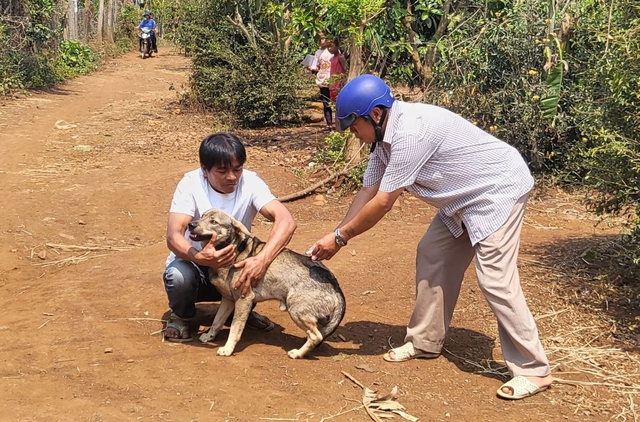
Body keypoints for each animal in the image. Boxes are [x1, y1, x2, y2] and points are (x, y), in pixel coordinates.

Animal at [186, 209, 344, 358]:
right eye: (202, 216)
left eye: (213, 221)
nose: (191, 225)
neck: (234, 250)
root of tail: (335, 285)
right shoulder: (228, 300)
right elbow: (216, 322)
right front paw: (209, 336)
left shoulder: (243, 300)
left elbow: (235, 329)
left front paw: (228, 349)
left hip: (295, 310)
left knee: (317, 336)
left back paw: (297, 354)